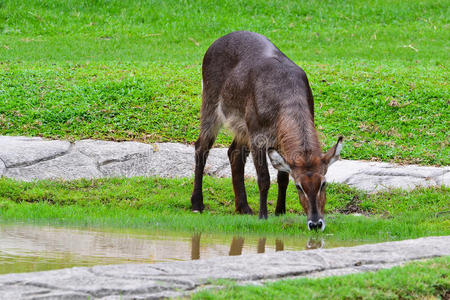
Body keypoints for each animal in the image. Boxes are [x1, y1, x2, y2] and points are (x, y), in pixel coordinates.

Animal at [189, 31, 342, 231]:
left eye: (324, 183)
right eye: (299, 186)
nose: (315, 223)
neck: (286, 94)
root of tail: (217, 41)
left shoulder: (278, 140)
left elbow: (282, 177)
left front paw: (280, 212)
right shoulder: (258, 138)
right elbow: (264, 179)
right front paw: (263, 215)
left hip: (242, 128)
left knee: (234, 153)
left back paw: (244, 207)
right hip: (211, 106)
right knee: (201, 147)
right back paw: (197, 204)